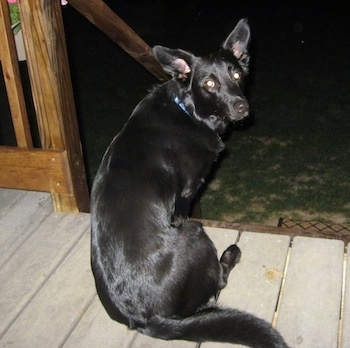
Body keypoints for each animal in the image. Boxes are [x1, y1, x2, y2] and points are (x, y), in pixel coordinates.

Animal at [91, 19, 288, 348]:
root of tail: (144, 319)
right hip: (196, 234)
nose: (241, 107)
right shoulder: (186, 194)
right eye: (209, 84)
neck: (187, 110)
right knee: (218, 279)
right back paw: (229, 256)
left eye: (236, 74)